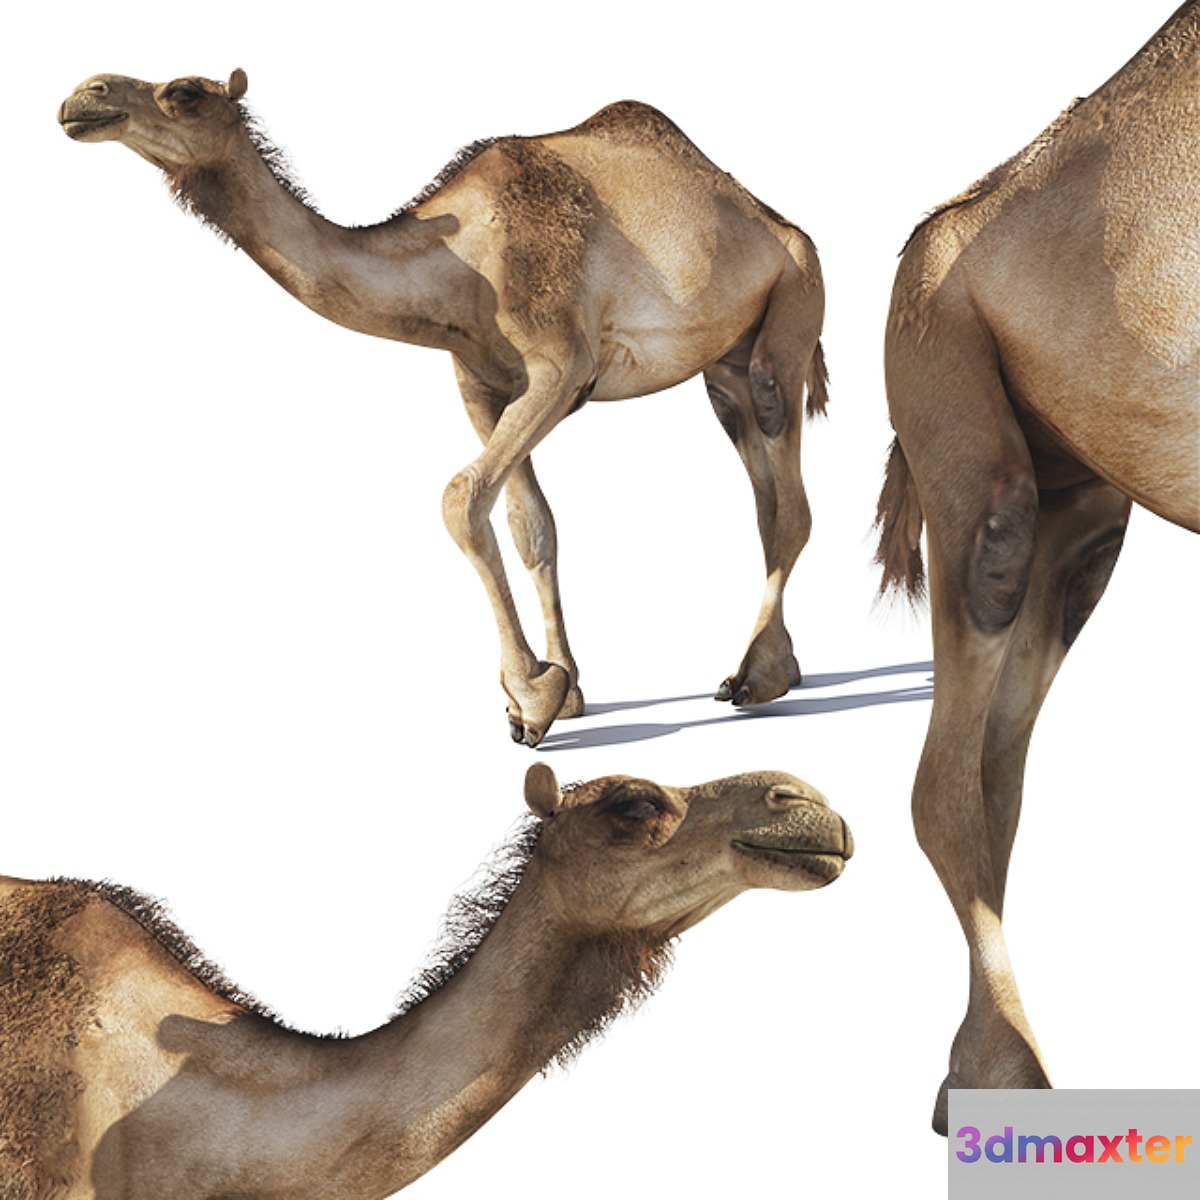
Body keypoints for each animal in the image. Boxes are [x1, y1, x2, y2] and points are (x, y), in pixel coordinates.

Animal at [57, 75, 829, 748]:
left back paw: (755, 677)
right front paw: (568, 688)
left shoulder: (562, 364)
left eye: (184, 92)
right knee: (764, 498)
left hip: (792, 310)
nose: (82, 97)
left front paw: (529, 698)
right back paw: (786, 669)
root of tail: (779, 221)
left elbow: (461, 497)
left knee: (790, 499)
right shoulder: (480, 382)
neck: (461, 259)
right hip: (724, 369)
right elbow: (531, 527)